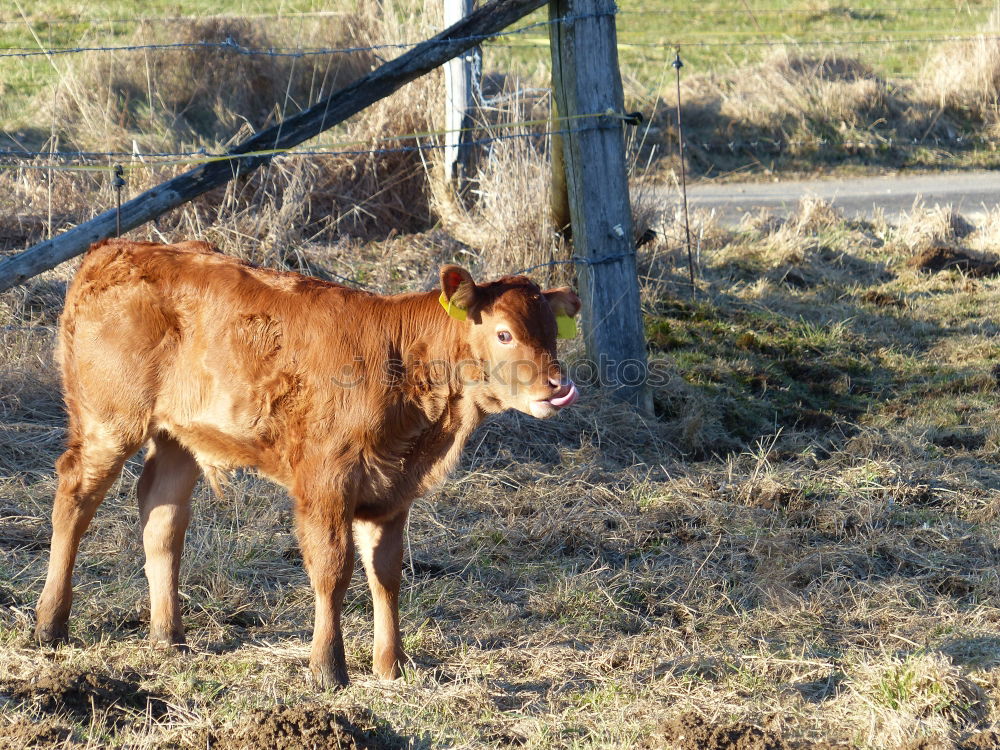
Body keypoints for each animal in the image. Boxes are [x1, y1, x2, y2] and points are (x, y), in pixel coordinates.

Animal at [35, 239, 584, 688]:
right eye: (504, 334)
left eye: (552, 333)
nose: (558, 387)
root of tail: (112, 249)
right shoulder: (326, 480)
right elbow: (332, 569)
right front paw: (327, 669)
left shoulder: (393, 491)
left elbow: (386, 574)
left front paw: (392, 666)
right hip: (108, 419)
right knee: (74, 498)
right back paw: (50, 624)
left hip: (177, 435)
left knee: (161, 517)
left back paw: (169, 636)